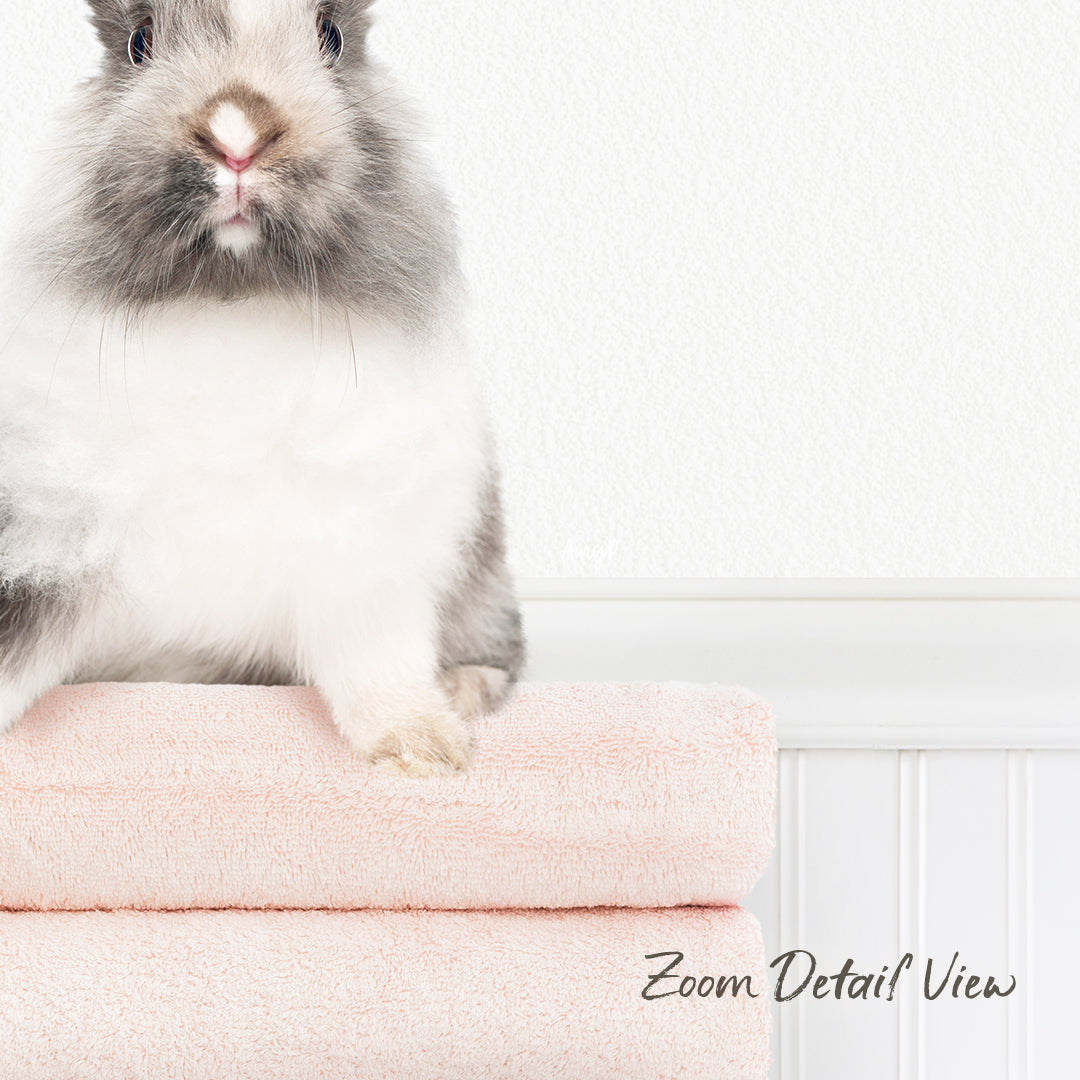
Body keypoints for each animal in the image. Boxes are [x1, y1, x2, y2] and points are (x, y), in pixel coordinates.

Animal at [0, 0, 524, 776]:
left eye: (331, 37)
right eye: (139, 43)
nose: (236, 135)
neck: (231, 303)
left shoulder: (364, 557)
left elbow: (380, 665)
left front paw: (422, 751)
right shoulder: (50, 544)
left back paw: (464, 689)